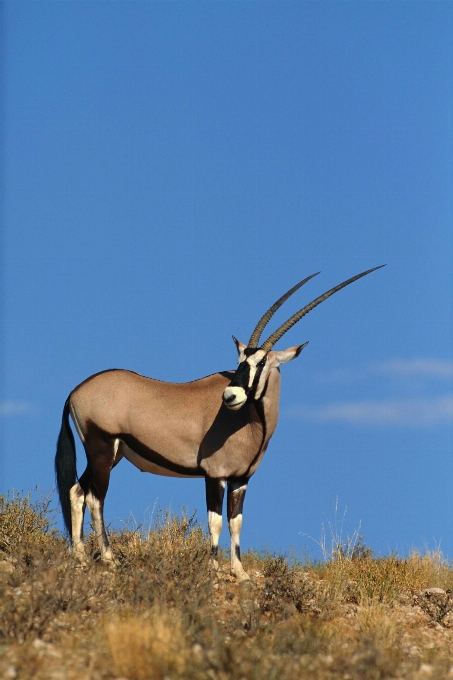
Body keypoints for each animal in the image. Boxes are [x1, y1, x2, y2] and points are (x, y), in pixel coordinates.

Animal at [54, 266, 384, 580]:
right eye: (240, 361)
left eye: (260, 362)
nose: (230, 395)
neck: (251, 423)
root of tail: (76, 391)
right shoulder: (215, 476)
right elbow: (215, 521)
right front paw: (213, 569)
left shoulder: (241, 479)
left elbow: (235, 522)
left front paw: (240, 572)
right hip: (102, 449)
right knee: (95, 498)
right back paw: (109, 558)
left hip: (111, 455)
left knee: (76, 491)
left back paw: (80, 556)